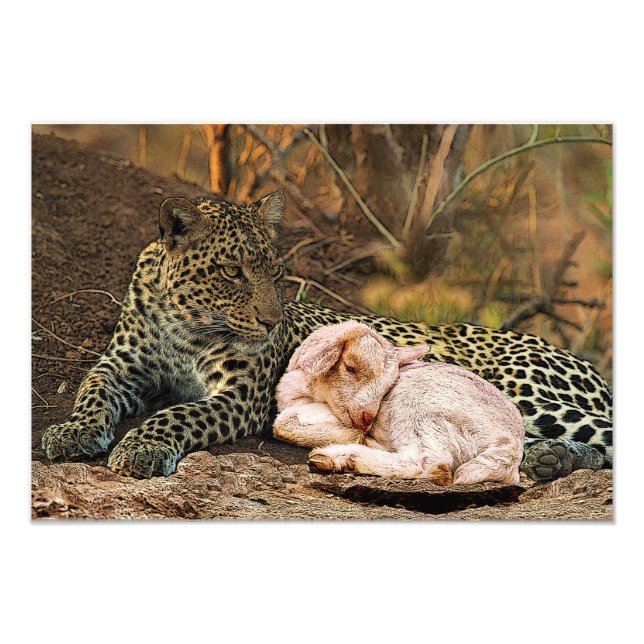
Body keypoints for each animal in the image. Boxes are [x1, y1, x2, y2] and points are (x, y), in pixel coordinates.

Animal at [41, 190, 613, 483]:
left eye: (275, 273)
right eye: (232, 272)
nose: (272, 323)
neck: (185, 321)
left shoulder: (242, 396)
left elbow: (180, 412)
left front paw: (142, 446)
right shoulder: (120, 365)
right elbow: (92, 391)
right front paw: (72, 432)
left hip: (518, 391)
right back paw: (549, 459)